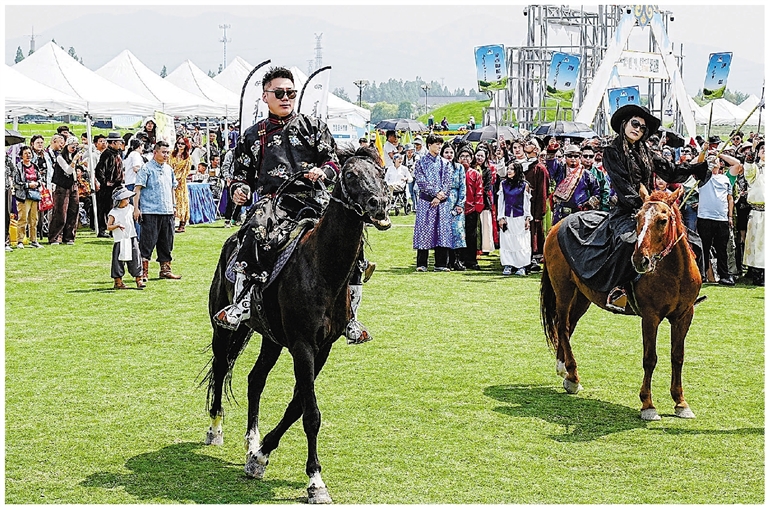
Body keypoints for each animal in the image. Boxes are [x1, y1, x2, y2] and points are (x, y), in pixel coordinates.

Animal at [203, 146, 390, 504]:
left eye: (381, 173)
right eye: (350, 174)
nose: (380, 204)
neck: (322, 270)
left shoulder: (323, 347)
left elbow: (297, 406)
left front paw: (260, 456)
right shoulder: (303, 345)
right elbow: (311, 413)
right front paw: (315, 481)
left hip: (270, 338)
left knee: (255, 379)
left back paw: (251, 440)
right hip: (224, 328)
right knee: (220, 368)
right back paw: (215, 429)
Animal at [540, 186, 701, 421]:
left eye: (662, 220)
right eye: (638, 218)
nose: (640, 260)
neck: (675, 273)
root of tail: (557, 225)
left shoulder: (684, 316)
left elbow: (677, 356)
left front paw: (680, 402)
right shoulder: (650, 317)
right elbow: (650, 358)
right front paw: (648, 405)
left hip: (582, 297)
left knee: (569, 326)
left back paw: (566, 373)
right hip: (564, 289)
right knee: (562, 326)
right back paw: (573, 375)